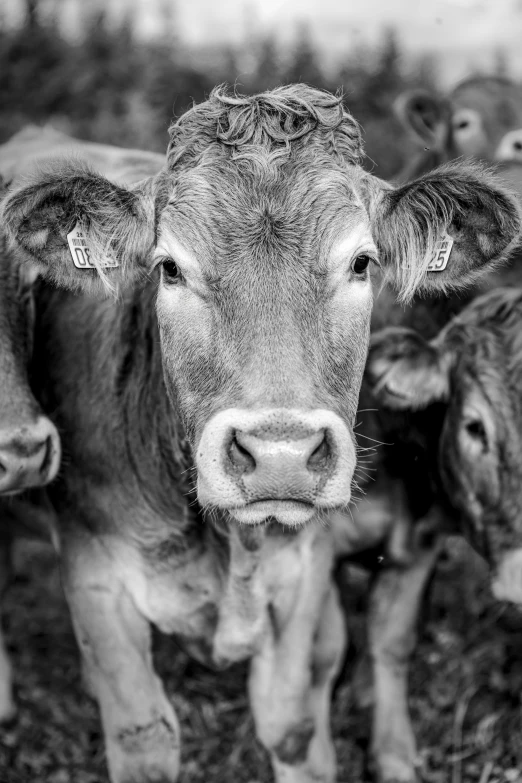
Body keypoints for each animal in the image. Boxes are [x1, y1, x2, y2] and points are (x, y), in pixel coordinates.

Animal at [2, 86, 516, 783]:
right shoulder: (96, 582)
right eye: (168, 268)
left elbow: (293, 724)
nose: (281, 456)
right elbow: (145, 741)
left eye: (362, 263)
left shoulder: (304, 576)